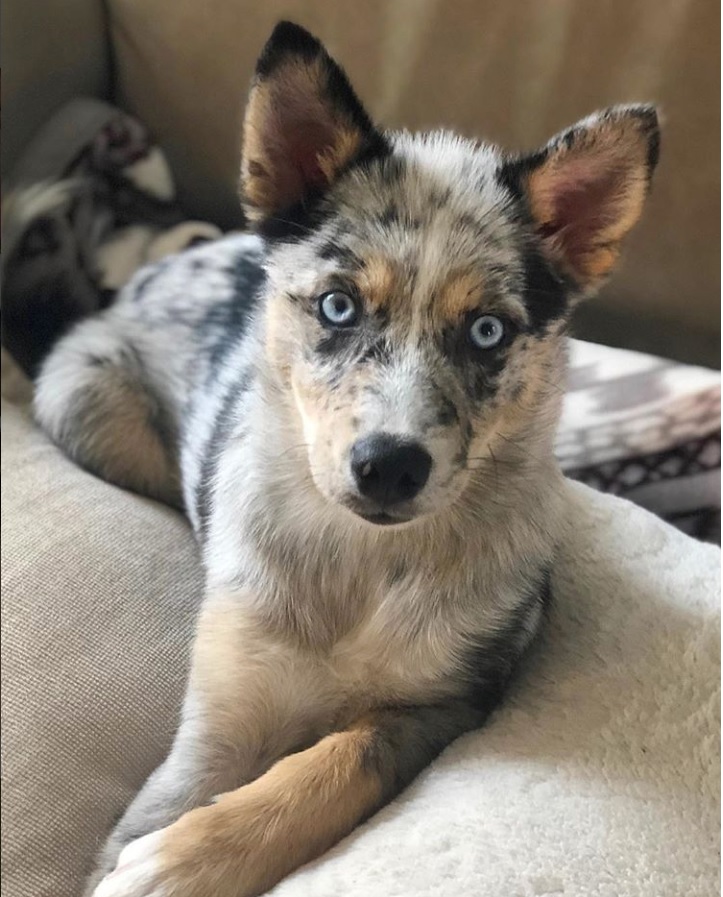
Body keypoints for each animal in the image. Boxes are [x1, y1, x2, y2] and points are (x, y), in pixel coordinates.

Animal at [28, 19, 660, 896]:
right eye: (336, 306)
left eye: (487, 331)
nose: (389, 466)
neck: (361, 565)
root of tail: (159, 268)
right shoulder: (217, 722)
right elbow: (172, 802)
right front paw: (165, 857)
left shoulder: (442, 707)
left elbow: (335, 759)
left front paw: (181, 861)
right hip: (83, 403)